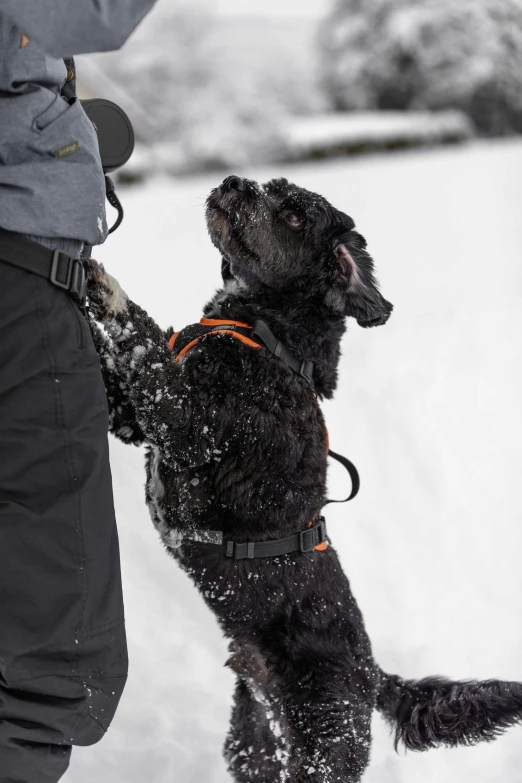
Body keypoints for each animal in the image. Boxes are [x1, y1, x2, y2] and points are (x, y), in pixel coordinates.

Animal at [85, 178, 520, 783]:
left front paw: (105, 287)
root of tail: (372, 676)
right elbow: (115, 368)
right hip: (254, 744)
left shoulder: (189, 424)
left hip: (325, 747)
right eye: (272, 189)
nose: (232, 182)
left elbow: (144, 341)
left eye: (293, 215)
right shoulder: (133, 418)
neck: (266, 338)